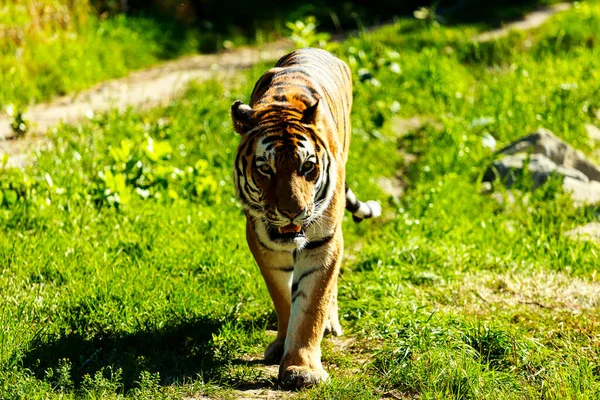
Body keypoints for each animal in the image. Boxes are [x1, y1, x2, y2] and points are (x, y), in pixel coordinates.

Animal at [230, 47, 380, 388]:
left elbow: (312, 304)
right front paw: (281, 345)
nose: (292, 212)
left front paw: (302, 368)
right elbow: (284, 298)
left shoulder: (323, 241)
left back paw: (331, 324)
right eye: (265, 169)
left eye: (307, 167)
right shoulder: (263, 242)